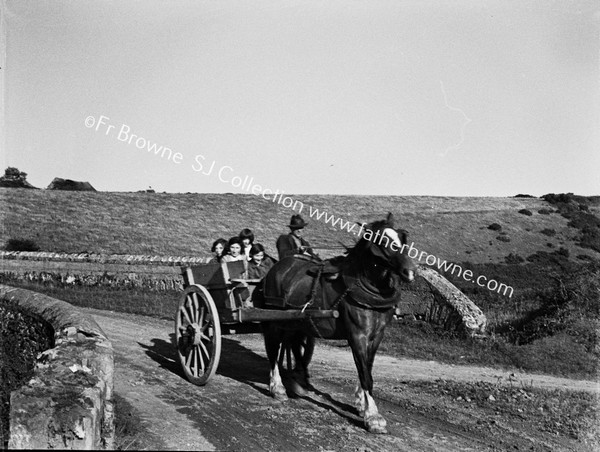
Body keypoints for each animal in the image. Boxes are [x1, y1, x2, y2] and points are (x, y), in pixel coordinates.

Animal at [254, 214, 418, 432]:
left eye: (402, 238)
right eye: (383, 242)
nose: (410, 272)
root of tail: (275, 269)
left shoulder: (376, 335)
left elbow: (368, 367)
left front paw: (361, 404)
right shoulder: (357, 334)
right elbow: (365, 373)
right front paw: (373, 416)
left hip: (295, 321)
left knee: (292, 344)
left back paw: (298, 380)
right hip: (274, 321)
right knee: (273, 350)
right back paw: (277, 387)